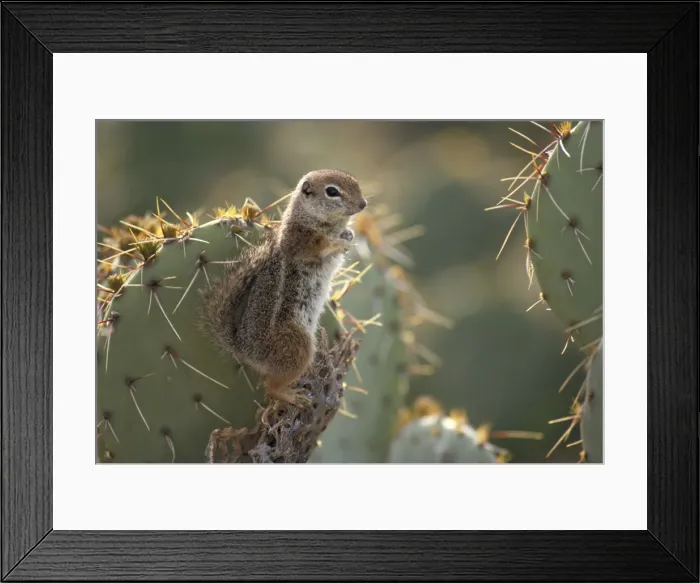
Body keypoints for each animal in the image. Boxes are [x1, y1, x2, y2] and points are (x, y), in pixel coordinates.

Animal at [199, 169, 367, 408]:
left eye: (355, 182)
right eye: (332, 191)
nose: (363, 204)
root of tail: (244, 350)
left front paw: (349, 234)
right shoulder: (299, 240)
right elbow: (320, 245)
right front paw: (336, 242)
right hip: (298, 347)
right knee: (271, 388)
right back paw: (291, 396)